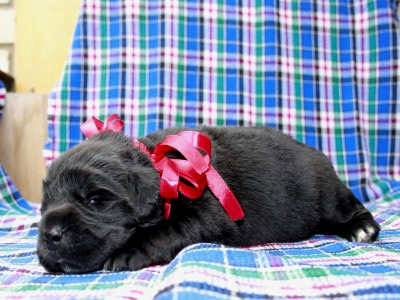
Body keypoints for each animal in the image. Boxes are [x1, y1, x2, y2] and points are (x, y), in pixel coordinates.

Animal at [36, 126, 380, 272]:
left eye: (95, 200)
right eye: (45, 203)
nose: (49, 235)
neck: (163, 167)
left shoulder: (206, 212)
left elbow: (166, 230)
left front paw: (129, 252)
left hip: (328, 195)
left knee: (349, 208)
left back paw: (362, 228)